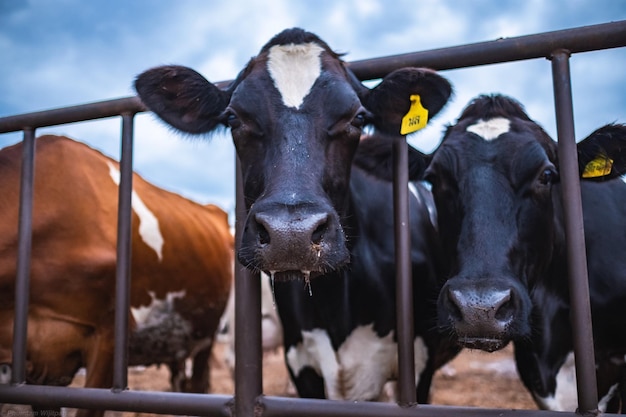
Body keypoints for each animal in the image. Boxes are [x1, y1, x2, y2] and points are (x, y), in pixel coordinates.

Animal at [135, 26, 458, 404]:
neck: (339, 308)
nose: (292, 234)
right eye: (233, 118)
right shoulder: (302, 361)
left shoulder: (418, 362)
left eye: (358, 118)